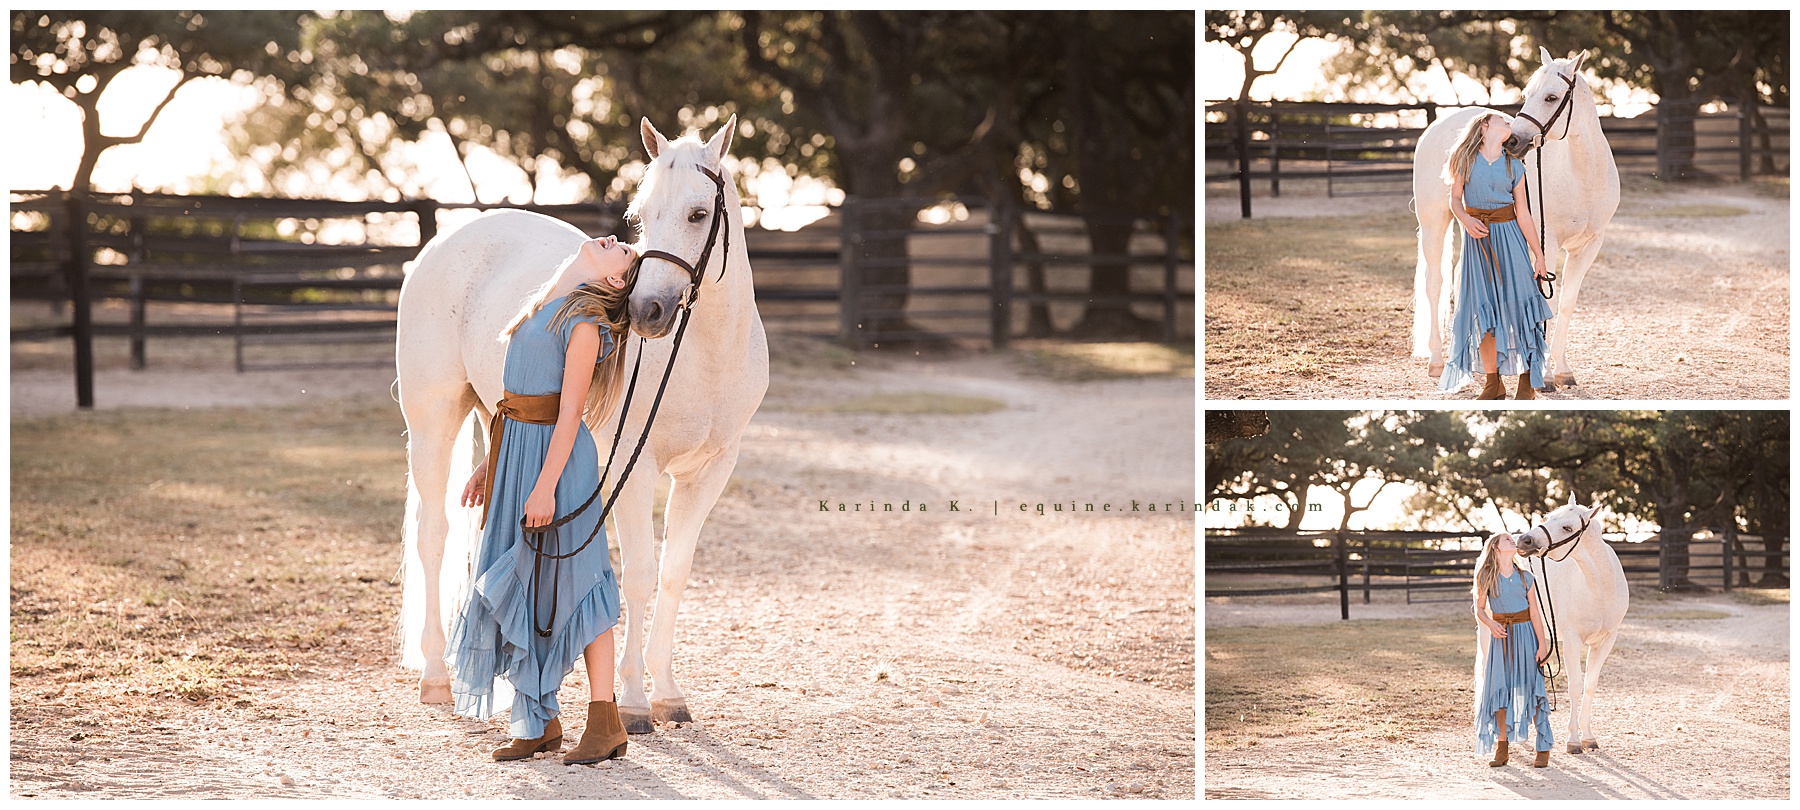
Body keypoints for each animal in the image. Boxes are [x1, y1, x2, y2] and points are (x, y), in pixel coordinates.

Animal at [393, 114, 768, 736]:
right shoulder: (635, 471)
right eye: (641, 215)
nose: (645, 313)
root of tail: (445, 242)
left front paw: (668, 695)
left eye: (697, 213)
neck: (704, 356)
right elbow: (639, 574)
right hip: (432, 419)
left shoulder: (712, 471)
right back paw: (436, 678)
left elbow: (675, 573)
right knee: (433, 535)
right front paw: (635, 702)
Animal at [1412, 48, 1619, 391]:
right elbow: (1546, 303)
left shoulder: (1590, 247)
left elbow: (1566, 303)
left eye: (1551, 97)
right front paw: (1544, 376)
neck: (1581, 176)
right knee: (1434, 284)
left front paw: (1563, 370)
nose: (1512, 143)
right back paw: (1437, 362)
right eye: (1526, 94)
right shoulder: (1546, 244)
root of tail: (1438, 125)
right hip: (1434, 221)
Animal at [1513, 496, 1629, 754]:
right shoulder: (1573, 641)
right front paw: (1573, 740)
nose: (1524, 541)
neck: (1598, 588)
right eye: (1547, 518)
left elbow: (1590, 685)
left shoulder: (1607, 641)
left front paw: (1588, 737)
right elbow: (1575, 686)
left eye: (1567, 527)